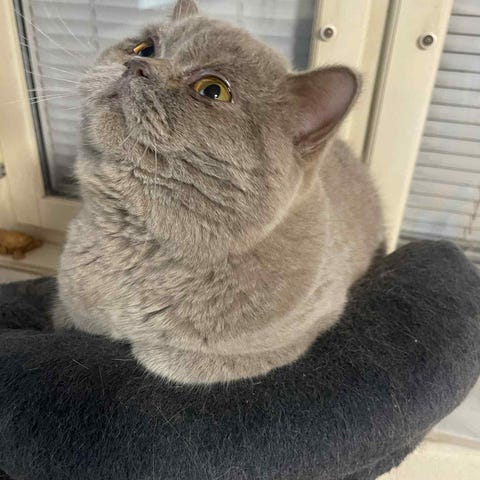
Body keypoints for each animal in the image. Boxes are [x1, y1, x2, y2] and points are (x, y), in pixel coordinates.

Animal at [55, 0, 384, 384]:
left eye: (213, 90)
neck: (136, 243)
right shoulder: (68, 305)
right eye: (144, 48)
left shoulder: (301, 326)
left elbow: (175, 359)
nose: (137, 65)